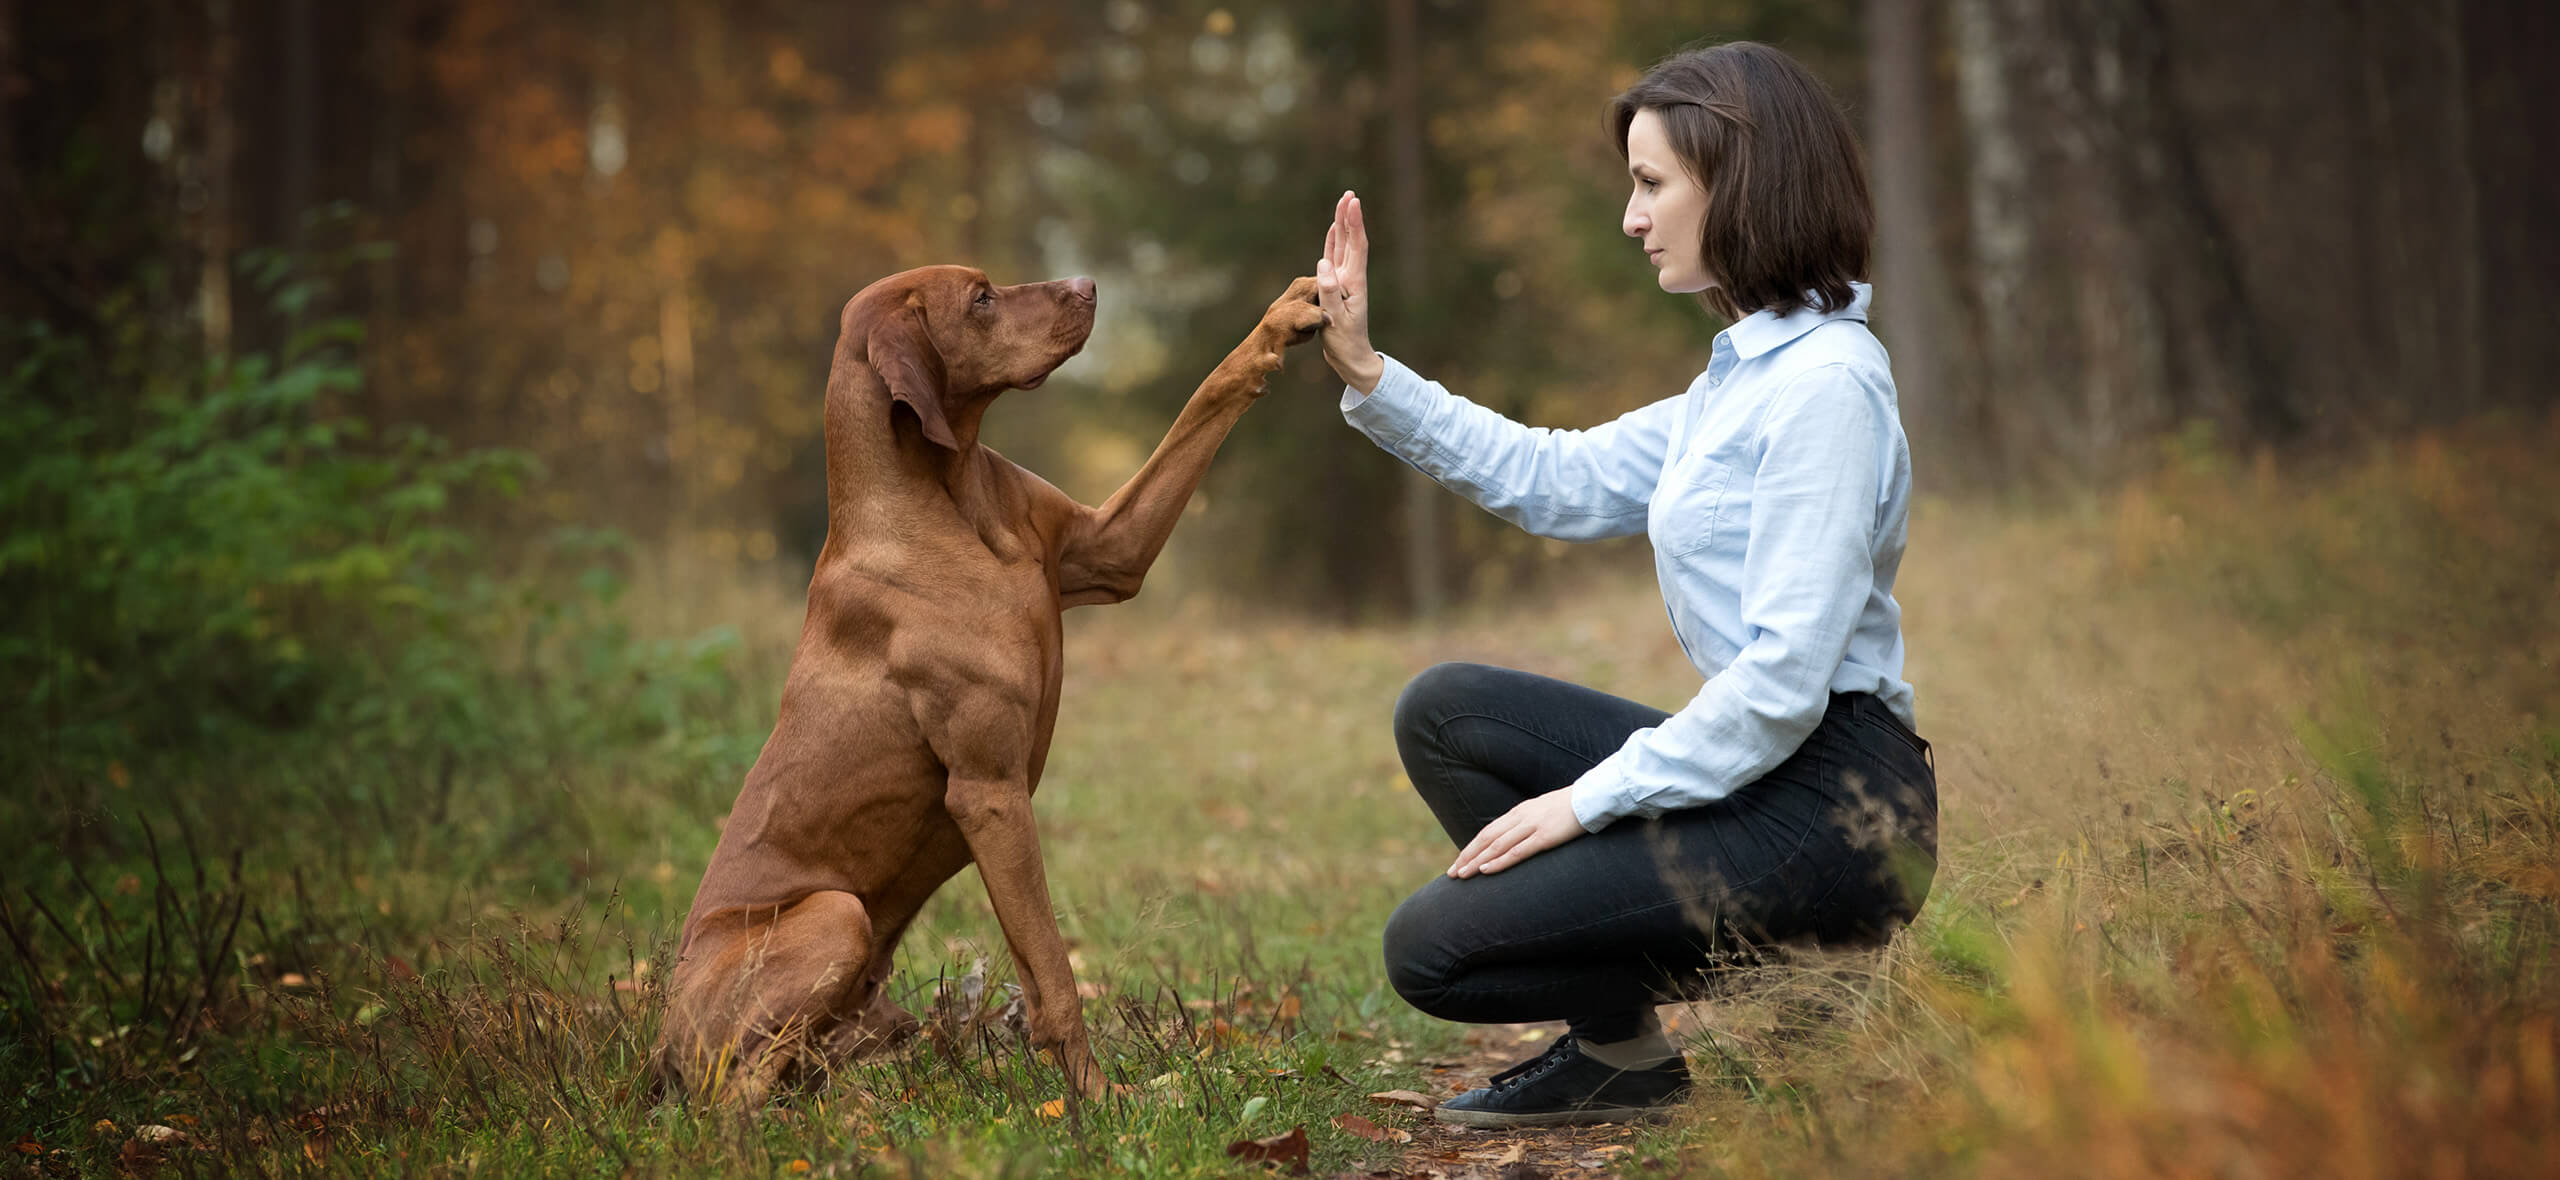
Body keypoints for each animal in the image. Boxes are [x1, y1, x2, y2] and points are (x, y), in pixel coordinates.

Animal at [650, 262, 1331, 1100]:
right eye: (979, 298)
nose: (1088, 284)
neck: (949, 501)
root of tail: (657, 1042)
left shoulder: (1111, 550)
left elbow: (1208, 393)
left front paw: (1285, 317)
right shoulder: (990, 792)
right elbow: (1057, 973)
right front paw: (1100, 1100)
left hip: (869, 998)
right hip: (835, 917)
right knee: (730, 1095)